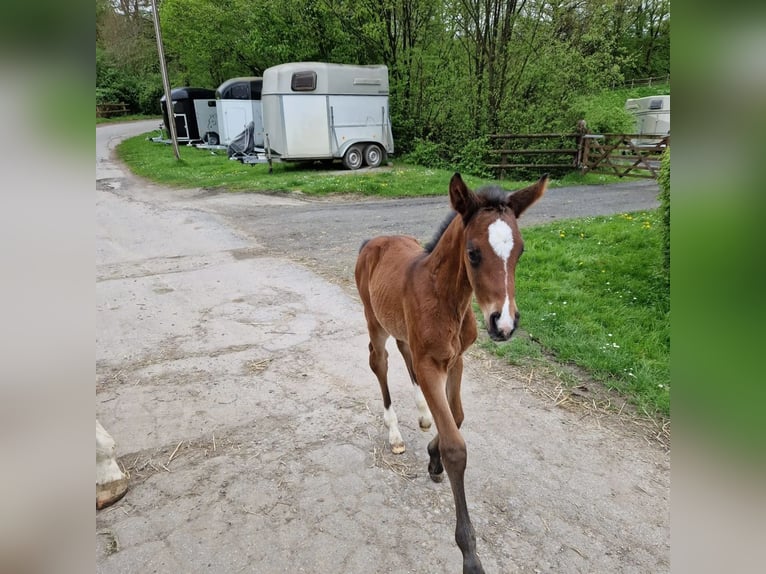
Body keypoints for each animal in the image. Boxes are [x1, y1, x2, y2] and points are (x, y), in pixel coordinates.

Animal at [356, 173, 548, 572]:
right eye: (473, 253)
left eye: (520, 252)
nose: (504, 325)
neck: (447, 299)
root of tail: (373, 242)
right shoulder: (433, 365)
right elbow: (456, 446)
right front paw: (470, 554)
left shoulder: (456, 359)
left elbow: (456, 417)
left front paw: (433, 455)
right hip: (374, 321)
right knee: (379, 361)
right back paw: (395, 432)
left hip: (403, 331)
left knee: (404, 353)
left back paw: (423, 414)